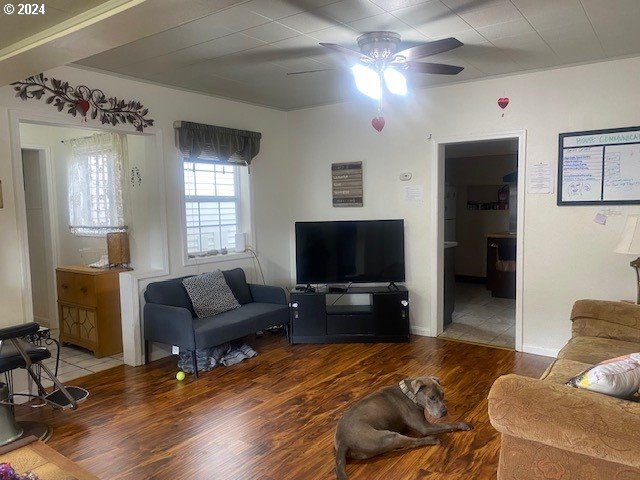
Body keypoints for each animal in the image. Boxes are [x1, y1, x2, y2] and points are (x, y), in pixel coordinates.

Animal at [336, 376, 470, 478]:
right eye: (431, 397)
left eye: (443, 394)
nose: (445, 412)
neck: (409, 394)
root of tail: (342, 442)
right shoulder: (425, 426)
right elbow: (448, 424)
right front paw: (463, 424)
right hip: (387, 437)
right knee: (413, 442)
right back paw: (433, 439)